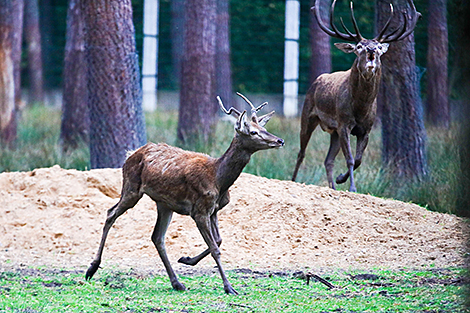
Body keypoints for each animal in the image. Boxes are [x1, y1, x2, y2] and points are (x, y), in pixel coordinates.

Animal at [85, 92, 284, 292]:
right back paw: (91, 269)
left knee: (157, 237)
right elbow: (215, 248)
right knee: (111, 213)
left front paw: (186, 259)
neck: (218, 179)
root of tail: (129, 154)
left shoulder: (214, 210)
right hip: (131, 188)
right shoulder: (199, 210)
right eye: (253, 132)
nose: (279, 140)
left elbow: (219, 240)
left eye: (263, 127)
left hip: (164, 204)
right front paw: (229, 287)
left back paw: (177, 282)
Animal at [292, 0, 420, 190]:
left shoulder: (365, 129)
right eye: (359, 46)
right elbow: (351, 159)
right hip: (308, 114)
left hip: (334, 131)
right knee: (301, 153)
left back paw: (333, 186)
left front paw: (340, 179)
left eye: (379, 47)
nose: (371, 50)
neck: (360, 108)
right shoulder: (344, 123)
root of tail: (316, 81)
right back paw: (292, 180)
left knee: (328, 160)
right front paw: (352, 187)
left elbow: (358, 160)